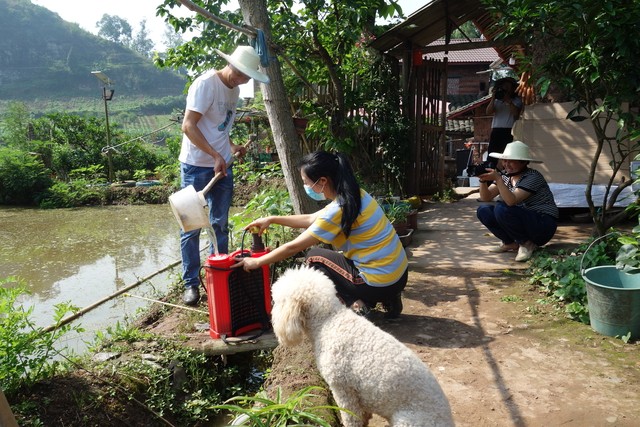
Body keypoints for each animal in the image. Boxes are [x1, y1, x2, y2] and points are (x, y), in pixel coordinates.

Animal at [270, 266, 456, 426]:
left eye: (277, 301)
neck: (329, 320)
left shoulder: (342, 389)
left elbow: (350, 417)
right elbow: (363, 414)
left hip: (407, 420)